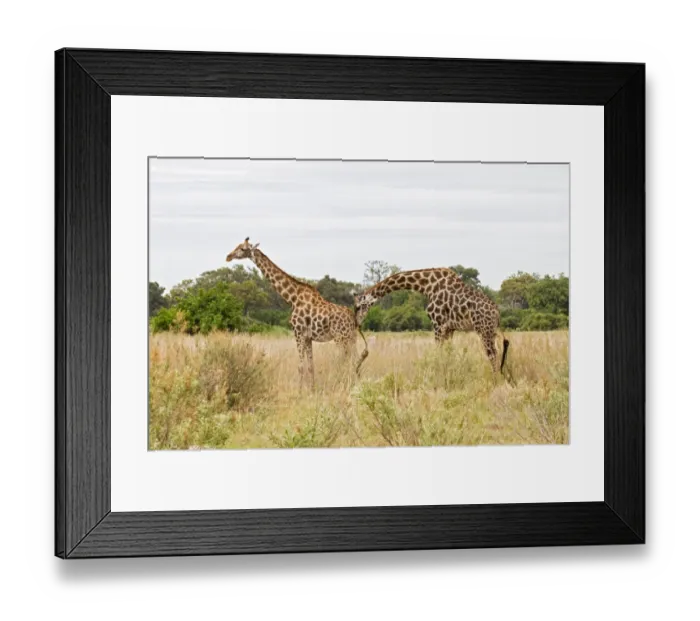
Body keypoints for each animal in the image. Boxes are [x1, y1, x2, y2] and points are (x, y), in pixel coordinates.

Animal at [226, 238, 368, 387]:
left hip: (340, 337)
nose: (228, 256)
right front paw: (311, 388)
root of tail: (353, 318)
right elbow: (310, 366)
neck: (292, 298)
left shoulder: (298, 333)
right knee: (356, 361)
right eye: (238, 246)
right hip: (351, 337)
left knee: (348, 362)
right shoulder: (308, 337)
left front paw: (300, 390)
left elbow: (300, 367)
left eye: (242, 249)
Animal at [354, 268, 509, 374]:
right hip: (491, 331)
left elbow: (438, 353)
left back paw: (495, 379)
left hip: (483, 330)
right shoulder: (449, 328)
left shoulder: (438, 323)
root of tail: (497, 313)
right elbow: (447, 353)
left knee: (492, 354)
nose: (357, 324)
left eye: (359, 306)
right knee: (497, 352)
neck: (426, 286)